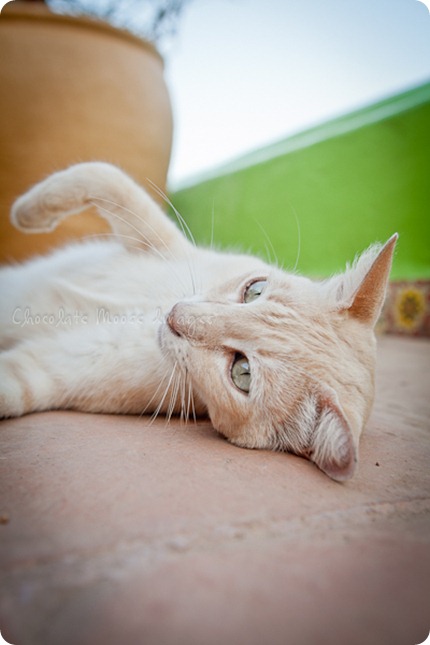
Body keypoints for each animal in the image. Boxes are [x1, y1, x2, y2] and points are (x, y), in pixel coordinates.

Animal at [0, 164, 396, 480]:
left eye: (242, 373)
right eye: (254, 290)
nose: (175, 314)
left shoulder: (61, 369)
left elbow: (11, 387)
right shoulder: (158, 240)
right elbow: (103, 176)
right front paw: (26, 213)